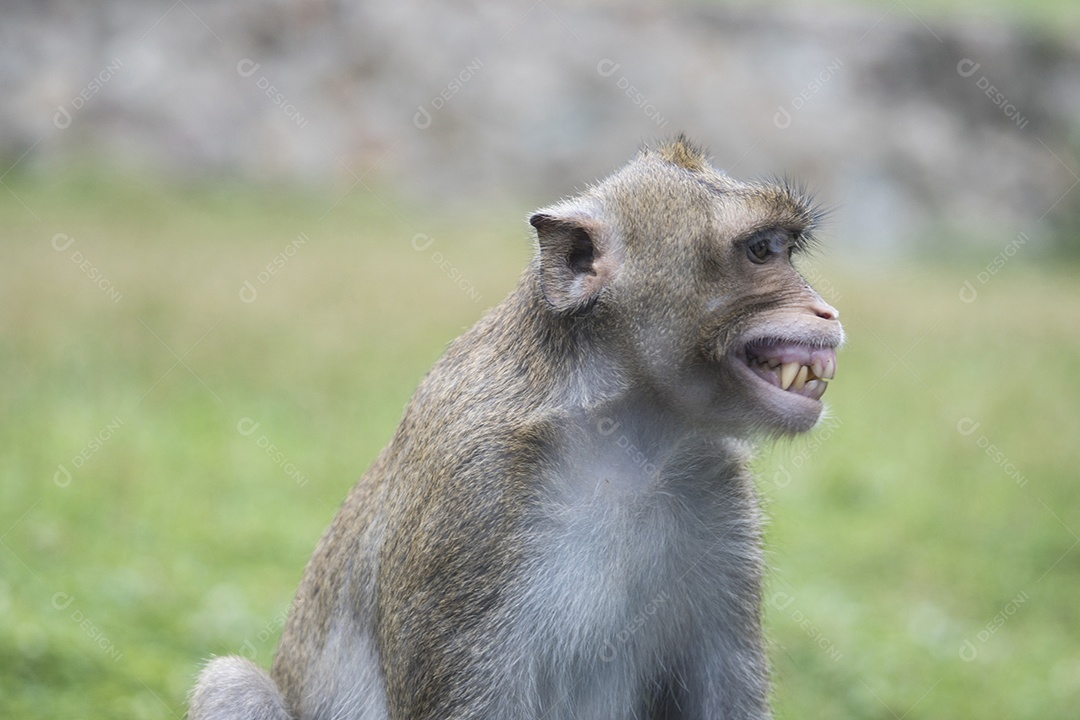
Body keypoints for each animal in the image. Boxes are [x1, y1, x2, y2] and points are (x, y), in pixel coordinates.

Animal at [189, 135, 843, 720]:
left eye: (785, 249)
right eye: (761, 251)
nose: (827, 312)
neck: (625, 436)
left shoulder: (718, 491)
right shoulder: (472, 498)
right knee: (232, 685)